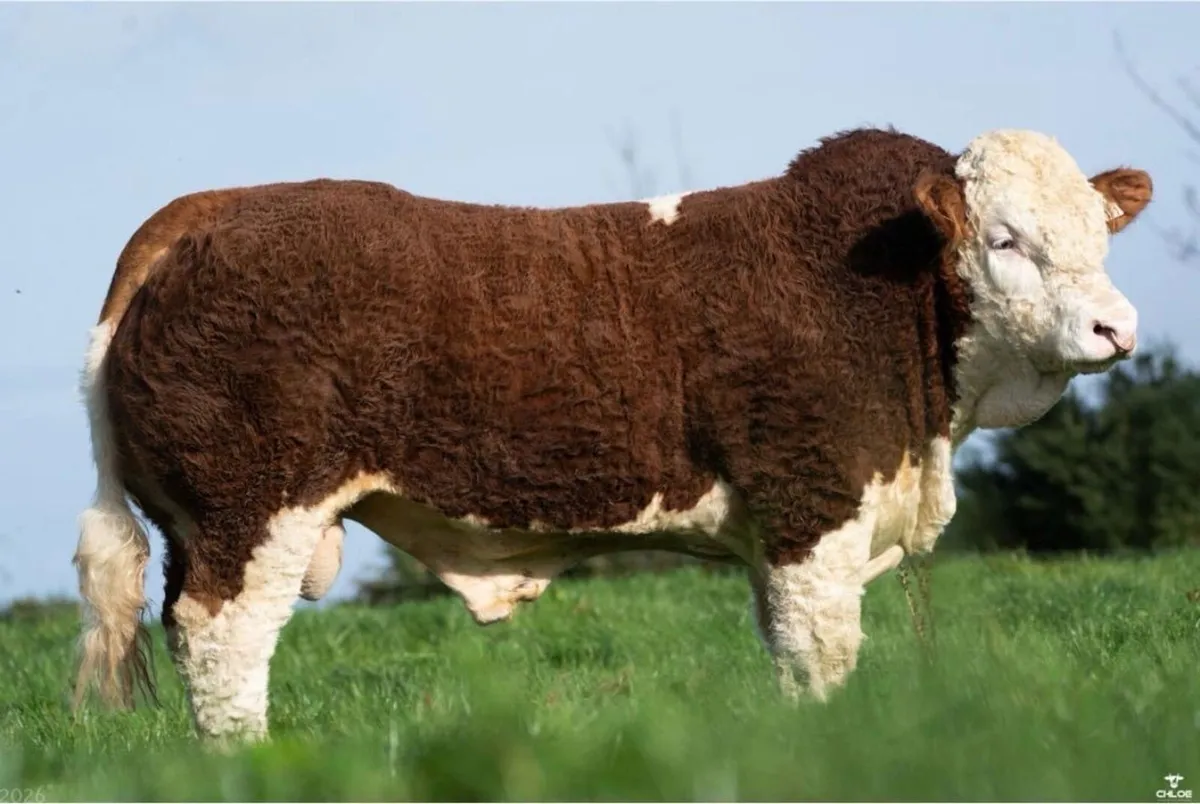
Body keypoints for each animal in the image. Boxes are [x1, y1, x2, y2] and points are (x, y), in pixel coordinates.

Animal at [71, 126, 1152, 742]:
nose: (1118, 328)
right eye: (1005, 238)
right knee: (223, 649)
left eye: (1101, 233)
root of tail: (207, 211)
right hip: (249, 510)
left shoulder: (782, 532)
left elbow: (786, 654)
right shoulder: (811, 507)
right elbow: (824, 654)